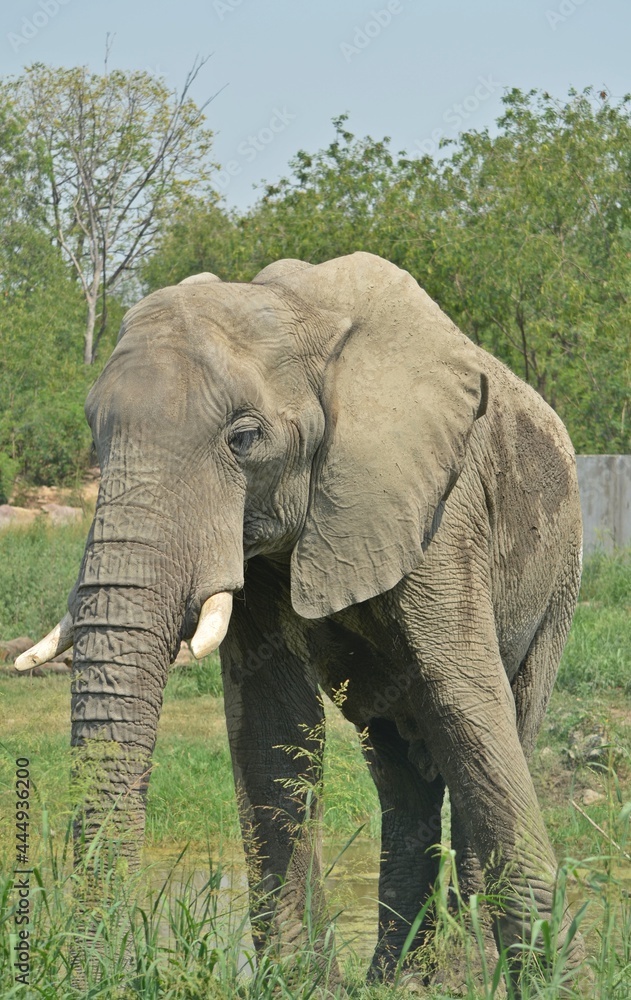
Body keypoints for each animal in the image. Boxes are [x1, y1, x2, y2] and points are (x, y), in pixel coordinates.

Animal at [16, 252, 583, 986]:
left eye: (243, 438)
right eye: (96, 436)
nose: (103, 974)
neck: (292, 313)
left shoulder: (439, 508)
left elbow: (468, 705)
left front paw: (545, 979)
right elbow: (271, 722)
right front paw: (301, 983)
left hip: (559, 573)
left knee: (498, 724)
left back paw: (451, 974)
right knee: (401, 771)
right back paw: (393, 980)